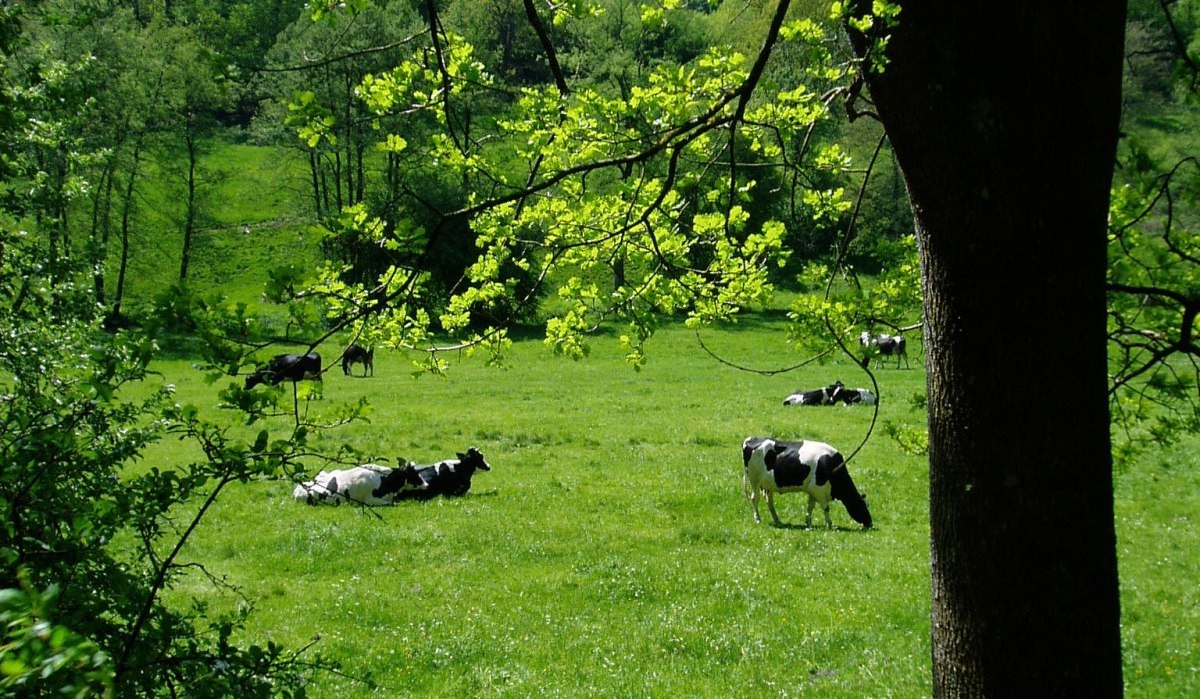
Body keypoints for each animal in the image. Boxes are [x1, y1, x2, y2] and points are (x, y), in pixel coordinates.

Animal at [741, 436, 872, 529]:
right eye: (861, 505)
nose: (870, 523)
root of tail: (750, 439)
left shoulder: (813, 489)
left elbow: (810, 506)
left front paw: (808, 523)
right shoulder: (818, 488)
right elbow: (826, 507)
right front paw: (829, 524)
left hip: (768, 484)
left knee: (769, 500)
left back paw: (778, 521)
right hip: (754, 480)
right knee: (754, 498)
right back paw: (758, 519)